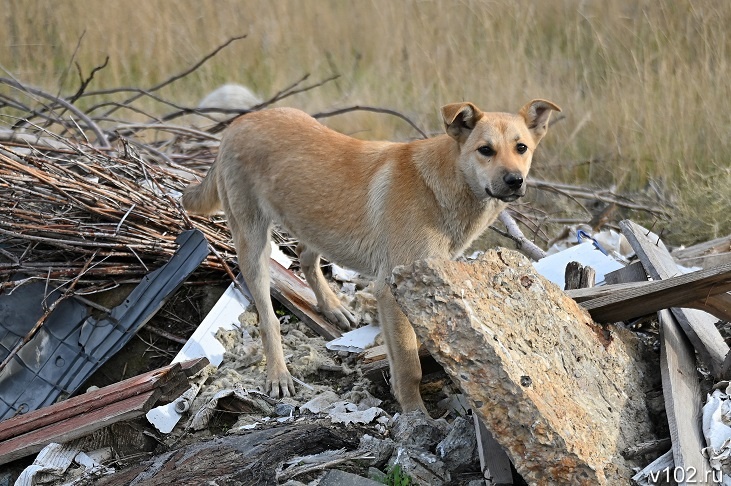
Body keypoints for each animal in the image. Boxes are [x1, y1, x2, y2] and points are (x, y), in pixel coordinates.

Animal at [183, 100, 560, 412]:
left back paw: (332, 307)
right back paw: (279, 373)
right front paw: (417, 415)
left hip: (318, 219)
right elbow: (410, 367)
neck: (443, 184)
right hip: (253, 242)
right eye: (485, 150)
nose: (515, 181)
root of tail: (238, 123)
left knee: (306, 257)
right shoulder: (390, 292)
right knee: (268, 318)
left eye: (521, 148)